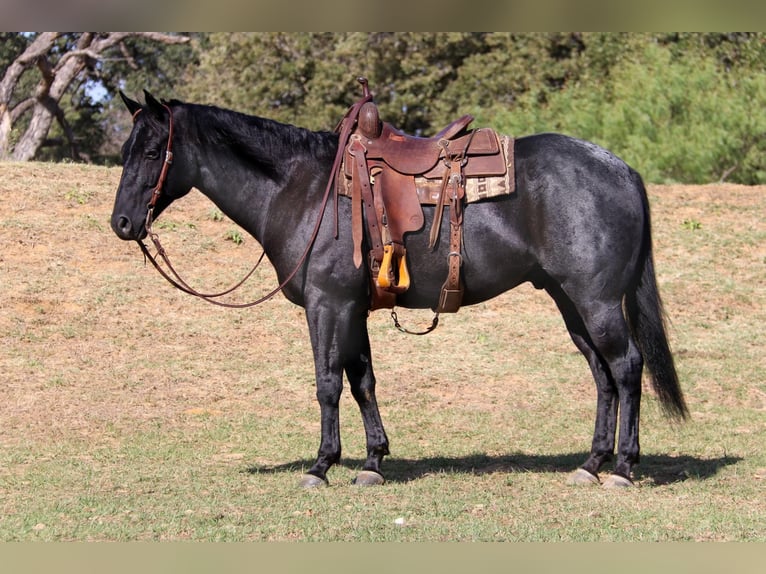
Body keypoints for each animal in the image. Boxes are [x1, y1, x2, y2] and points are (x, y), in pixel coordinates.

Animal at [109, 90, 688, 490]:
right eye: (125, 150)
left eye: (153, 151)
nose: (121, 223)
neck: (304, 189)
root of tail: (622, 169)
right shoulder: (352, 308)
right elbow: (363, 381)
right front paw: (371, 462)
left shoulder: (326, 304)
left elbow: (327, 383)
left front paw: (321, 466)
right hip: (569, 302)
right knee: (602, 374)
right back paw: (591, 464)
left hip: (595, 301)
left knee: (626, 366)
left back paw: (623, 468)